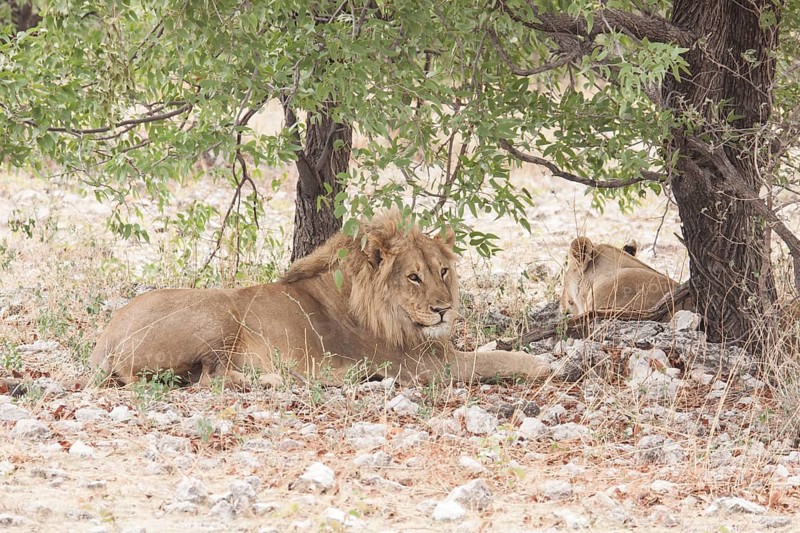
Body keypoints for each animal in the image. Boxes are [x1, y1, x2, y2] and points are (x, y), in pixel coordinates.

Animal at [91, 211, 551, 388]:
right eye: (413, 277)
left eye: (443, 272)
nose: (444, 309)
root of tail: (104, 342)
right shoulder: (424, 366)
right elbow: (492, 360)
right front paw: (544, 365)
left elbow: (490, 349)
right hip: (218, 312)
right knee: (210, 379)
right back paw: (288, 379)